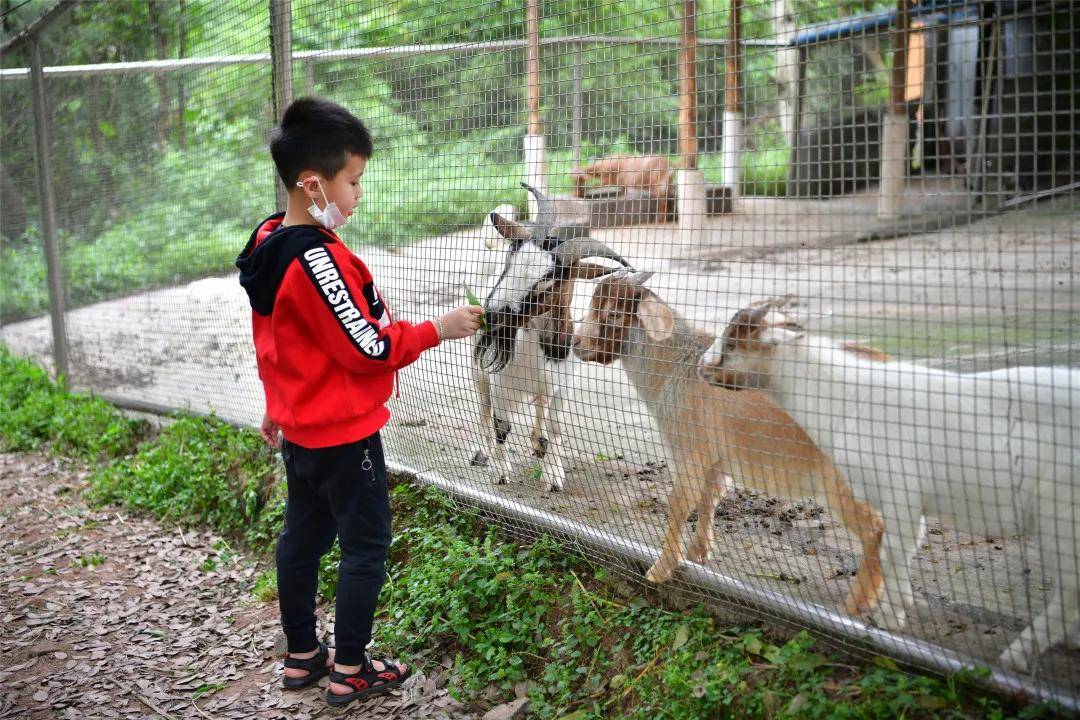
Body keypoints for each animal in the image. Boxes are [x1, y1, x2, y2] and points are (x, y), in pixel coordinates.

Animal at [475, 183, 630, 492]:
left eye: (548, 282)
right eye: (510, 260)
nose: (493, 314)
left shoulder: (561, 385)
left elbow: (556, 425)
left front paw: (554, 474)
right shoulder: (500, 385)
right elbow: (501, 427)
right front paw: (500, 470)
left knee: (539, 406)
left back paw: (538, 443)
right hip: (478, 373)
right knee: (484, 411)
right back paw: (483, 453)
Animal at [570, 269, 881, 613]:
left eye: (613, 313)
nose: (575, 342)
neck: (675, 367)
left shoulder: (690, 447)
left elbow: (679, 502)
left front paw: (661, 569)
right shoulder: (715, 456)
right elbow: (710, 497)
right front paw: (699, 552)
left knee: (874, 532)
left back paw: (857, 604)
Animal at [699, 300, 1080, 677]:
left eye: (733, 344)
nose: (702, 366)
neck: (849, 396)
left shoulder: (901, 494)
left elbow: (892, 551)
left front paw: (889, 617)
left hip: (1060, 518)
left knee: (1069, 594)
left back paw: (1016, 656)